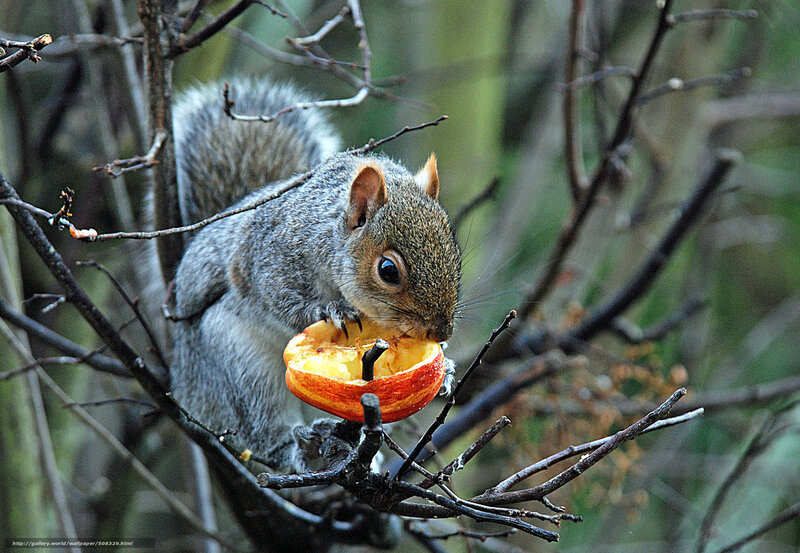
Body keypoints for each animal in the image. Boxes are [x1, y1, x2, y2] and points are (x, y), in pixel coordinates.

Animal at [169, 76, 461, 472]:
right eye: (388, 270)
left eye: (454, 251)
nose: (441, 332)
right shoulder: (269, 258)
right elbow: (278, 297)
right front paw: (330, 312)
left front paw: (446, 366)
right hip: (237, 366)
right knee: (262, 428)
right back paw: (299, 447)